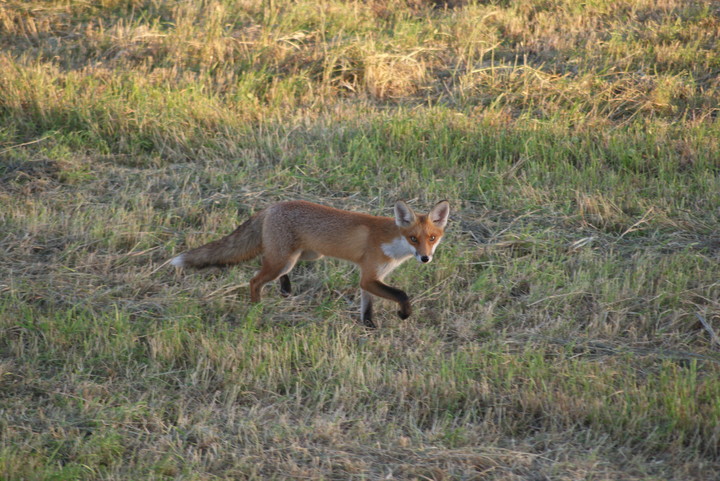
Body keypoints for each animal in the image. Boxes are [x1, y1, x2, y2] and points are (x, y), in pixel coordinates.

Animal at [171, 199, 448, 326]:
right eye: (413, 238)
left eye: (432, 238)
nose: (425, 258)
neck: (392, 243)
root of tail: (272, 206)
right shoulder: (370, 276)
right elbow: (401, 294)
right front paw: (404, 313)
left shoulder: (370, 279)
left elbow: (367, 307)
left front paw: (369, 327)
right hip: (284, 260)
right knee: (254, 280)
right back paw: (256, 309)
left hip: (303, 256)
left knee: (267, 265)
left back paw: (285, 289)